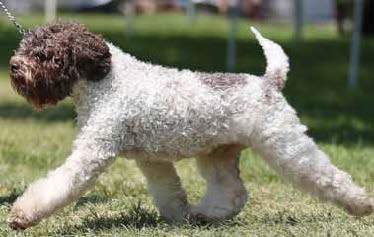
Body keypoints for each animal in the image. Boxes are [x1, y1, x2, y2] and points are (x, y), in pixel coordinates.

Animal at [7, 22, 372, 230]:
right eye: (26, 47)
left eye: (43, 54)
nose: (13, 66)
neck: (106, 80)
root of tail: (270, 81)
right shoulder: (151, 159)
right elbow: (169, 191)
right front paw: (180, 217)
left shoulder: (93, 152)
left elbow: (59, 184)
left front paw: (22, 214)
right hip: (218, 154)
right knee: (233, 192)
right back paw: (204, 215)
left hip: (286, 144)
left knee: (327, 176)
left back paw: (362, 203)